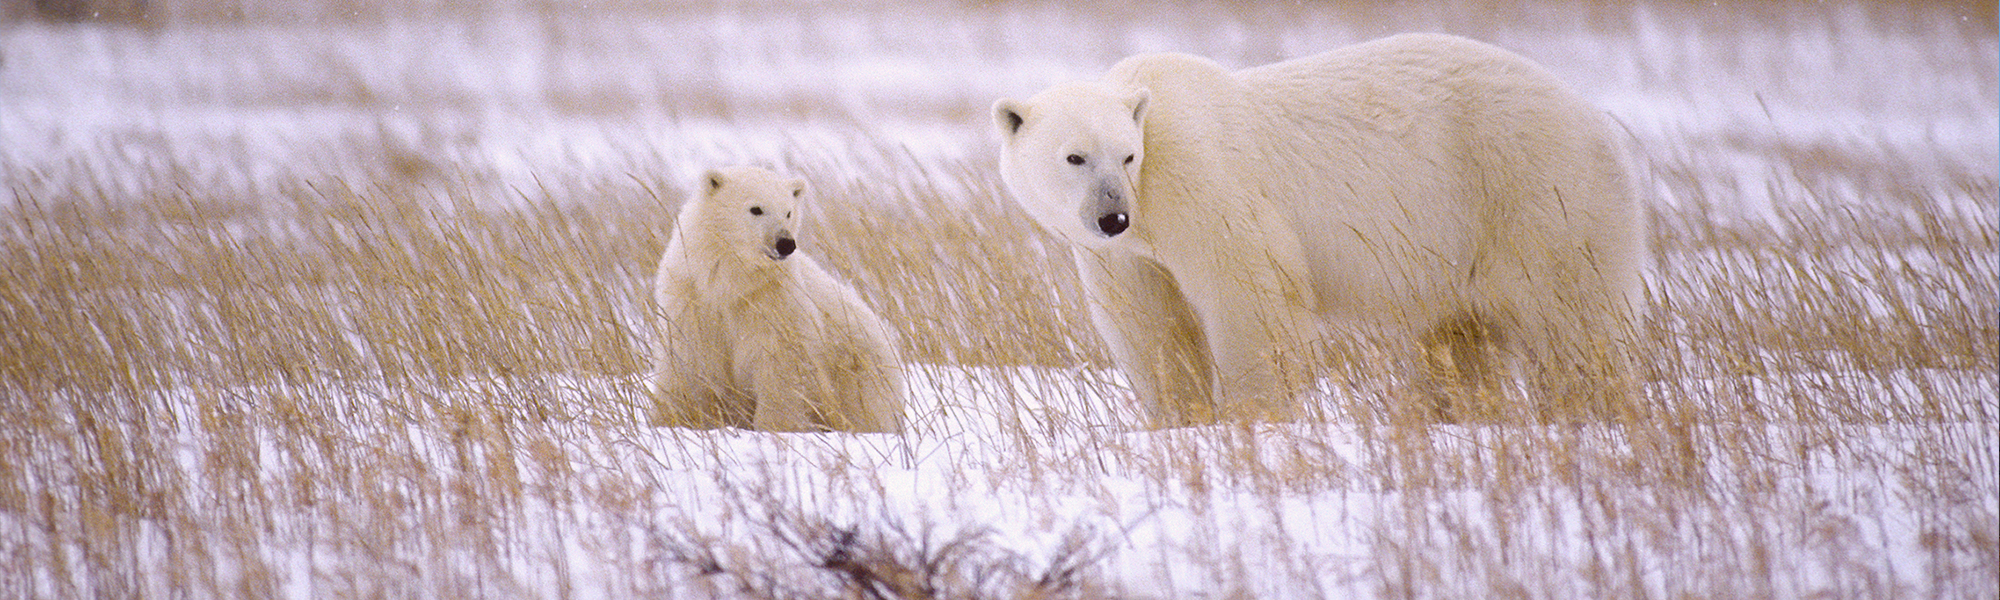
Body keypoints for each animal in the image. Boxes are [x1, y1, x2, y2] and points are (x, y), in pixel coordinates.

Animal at [996, 34, 1640, 426]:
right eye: (1076, 157)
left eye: (1127, 156)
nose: (1113, 217)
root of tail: (1596, 119)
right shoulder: (1124, 254)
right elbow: (1150, 325)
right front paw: (1179, 420)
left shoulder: (1202, 186)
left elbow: (1251, 297)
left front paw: (1254, 417)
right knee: (1455, 339)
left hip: (1534, 190)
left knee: (1569, 314)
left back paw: (1591, 406)